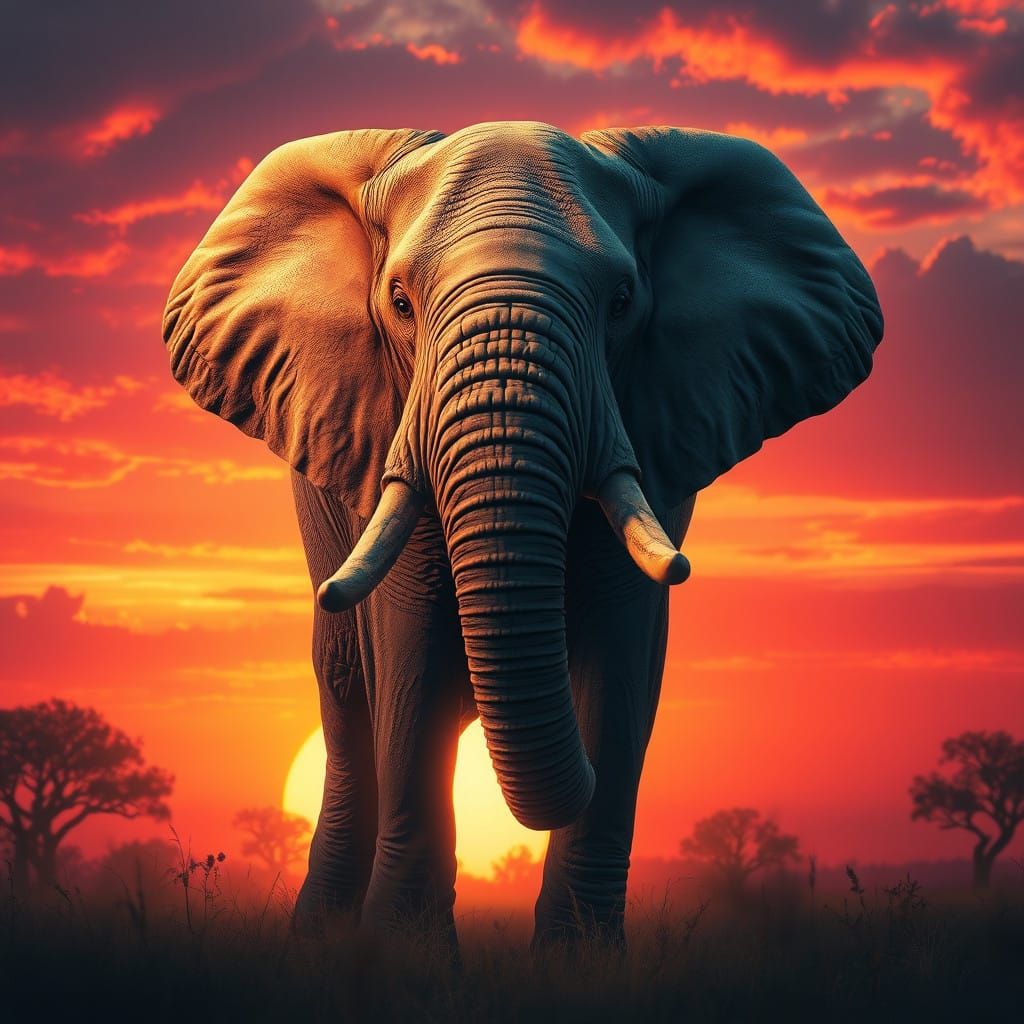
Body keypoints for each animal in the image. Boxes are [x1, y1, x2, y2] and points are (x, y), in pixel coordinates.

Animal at [162, 122, 882, 949]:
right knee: (346, 690)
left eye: (623, 301)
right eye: (400, 302)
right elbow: (412, 655)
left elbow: (622, 660)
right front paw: (406, 959)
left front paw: (580, 961)